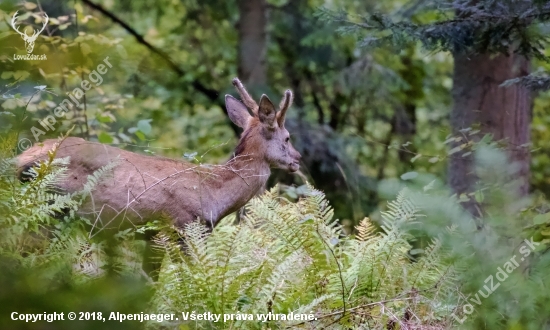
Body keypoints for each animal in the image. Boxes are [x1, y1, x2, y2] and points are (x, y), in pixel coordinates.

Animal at [17, 78, 302, 232]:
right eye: (287, 138)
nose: (298, 159)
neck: (215, 194)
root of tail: (18, 160)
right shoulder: (183, 225)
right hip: (51, 205)